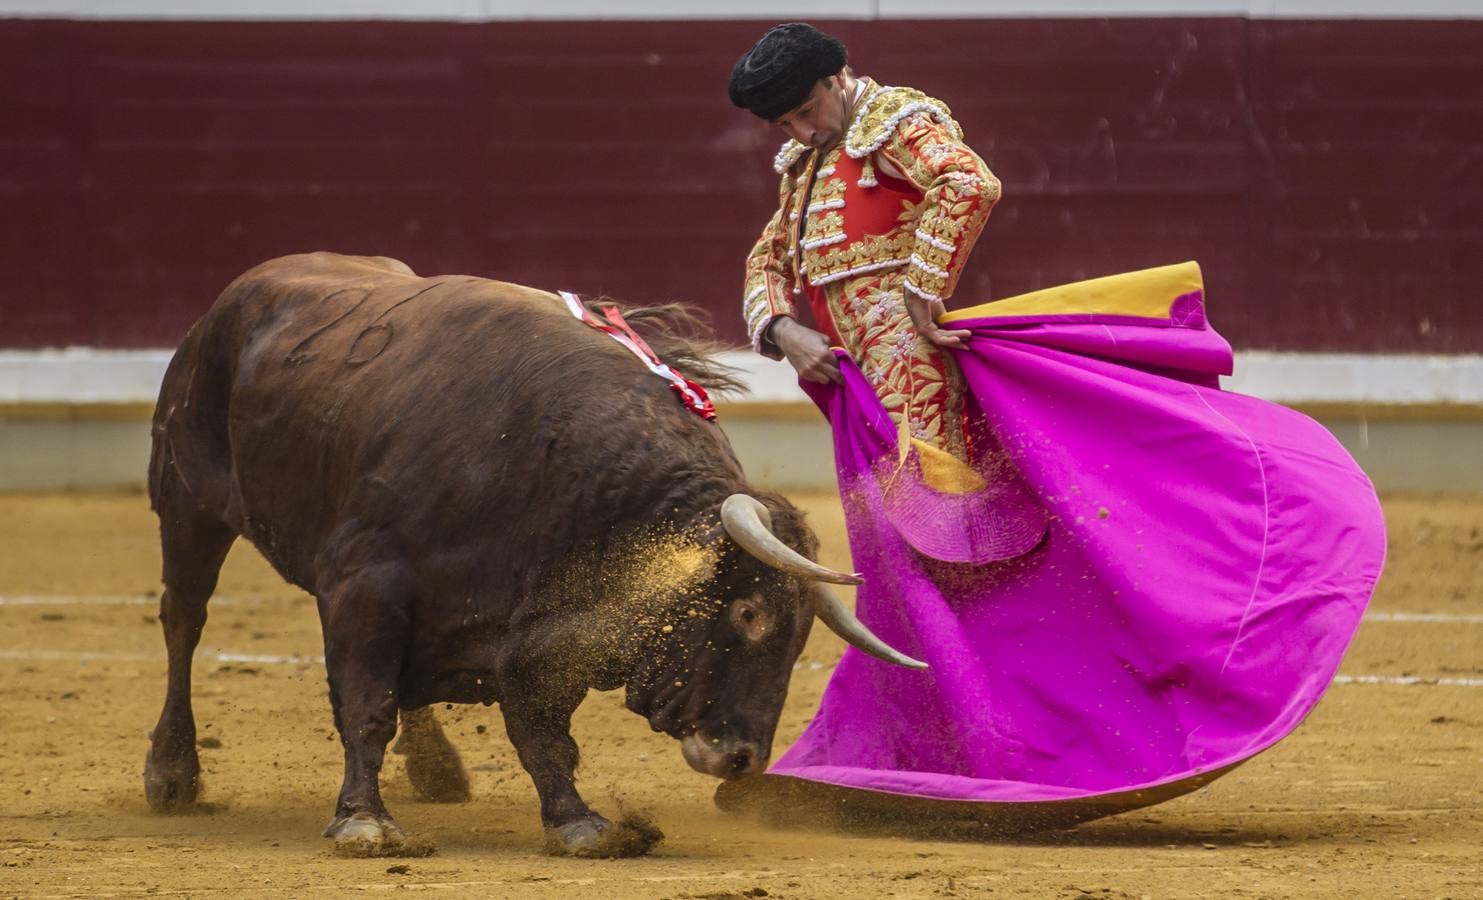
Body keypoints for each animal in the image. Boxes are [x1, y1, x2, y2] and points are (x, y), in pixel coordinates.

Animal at [144, 253, 919, 859]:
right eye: (750, 613)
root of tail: (237, 295)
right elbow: (367, 705)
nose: (742, 760)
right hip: (186, 503)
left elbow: (542, 729)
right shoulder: (364, 589)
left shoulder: (550, 630)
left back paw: (438, 772)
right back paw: (171, 773)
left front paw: (579, 823)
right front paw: (363, 823)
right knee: (184, 622)